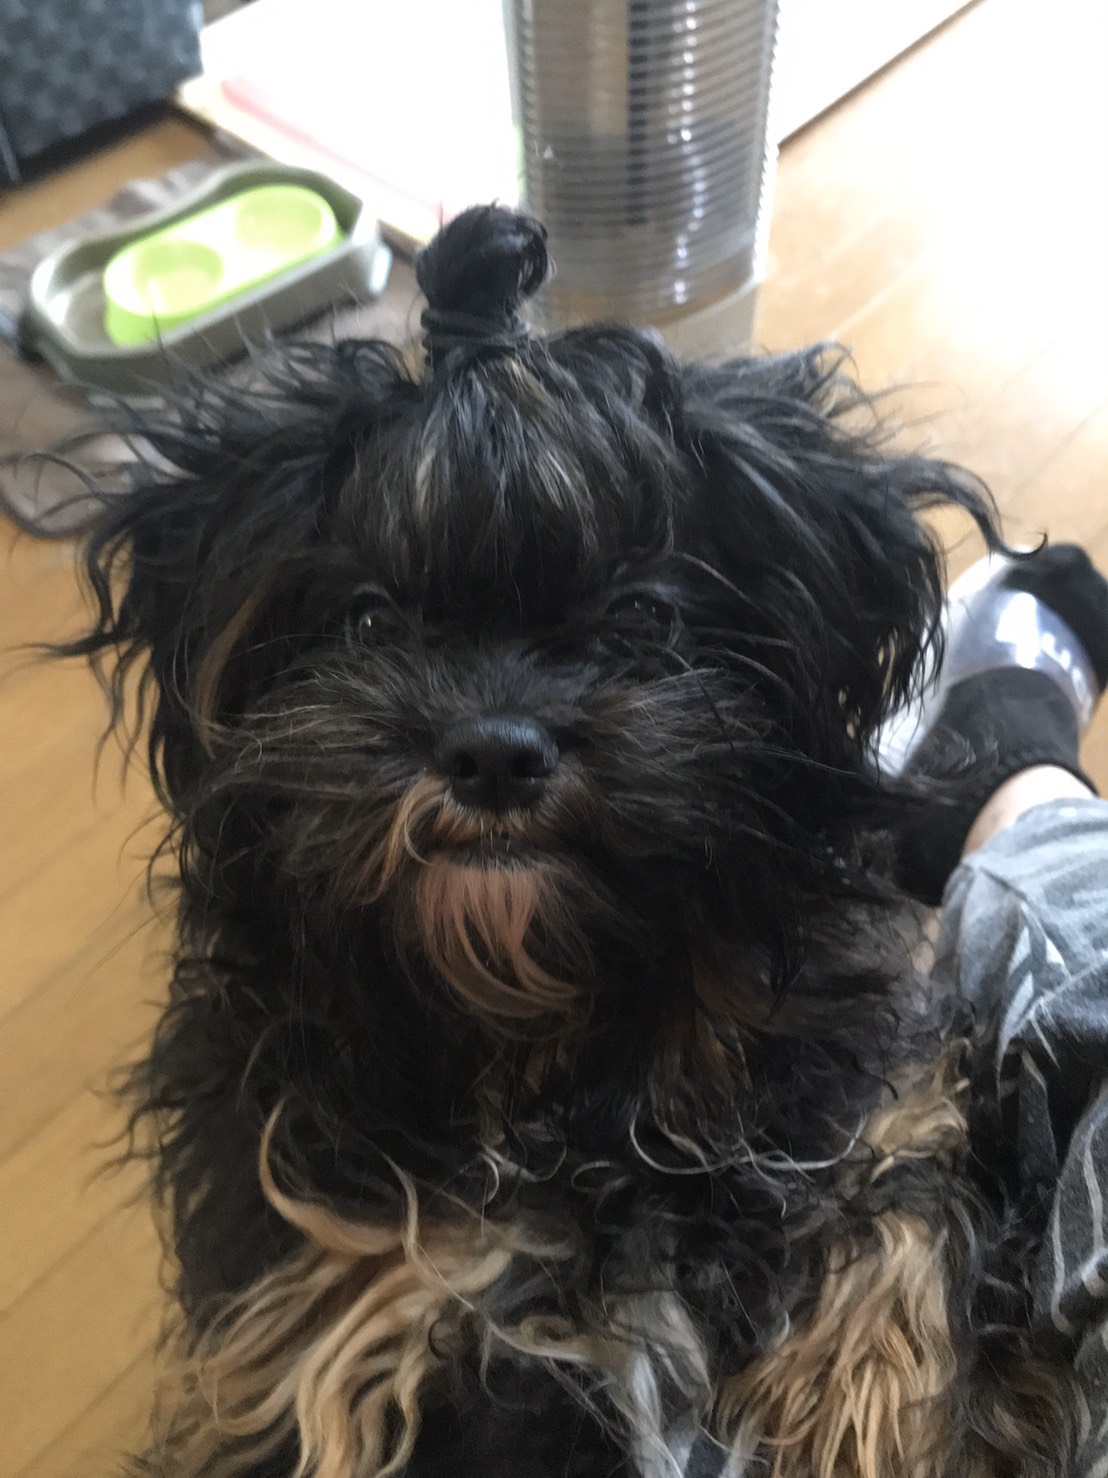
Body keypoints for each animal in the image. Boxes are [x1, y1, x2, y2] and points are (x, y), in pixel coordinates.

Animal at [66, 205, 1074, 1476]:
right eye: (366, 619)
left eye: (641, 616)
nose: (495, 752)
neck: (553, 1071)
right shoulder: (350, 1309)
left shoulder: (881, 1085)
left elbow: (911, 1197)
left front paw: (859, 1392)